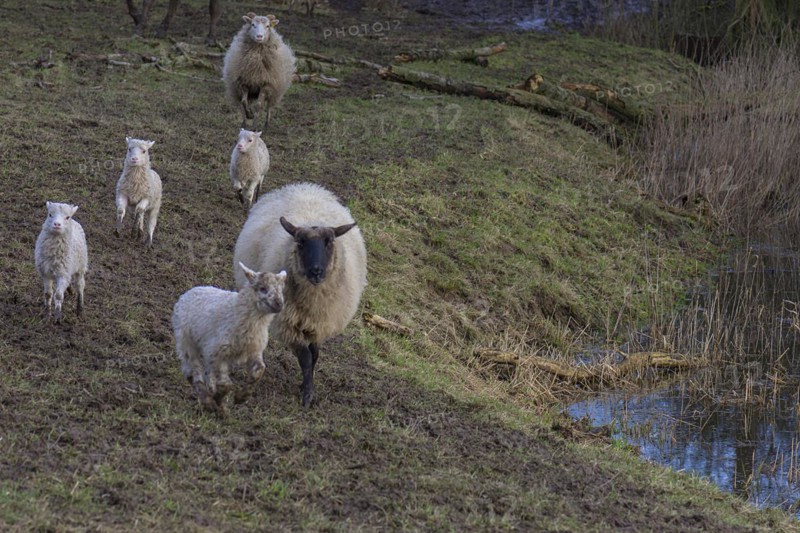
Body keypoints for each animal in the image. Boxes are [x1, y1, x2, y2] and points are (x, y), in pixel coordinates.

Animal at [172, 263, 287, 413]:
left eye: (280, 289)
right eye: (263, 288)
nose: (279, 304)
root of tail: (190, 291)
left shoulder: (253, 350)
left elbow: (259, 370)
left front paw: (241, 397)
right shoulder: (219, 351)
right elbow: (226, 384)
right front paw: (219, 398)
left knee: (207, 372)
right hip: (185, 340)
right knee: (192, 371)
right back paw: (207, 401)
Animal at [233, 182, 367, 407]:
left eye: (329, 242)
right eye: (300, 243)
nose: (316, 271)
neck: (313, 301)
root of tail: (304, 186)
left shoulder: (319, 324)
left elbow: (315, 354)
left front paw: (306, 384)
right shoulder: (289, 324)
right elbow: (305, 358)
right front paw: (307, 394)